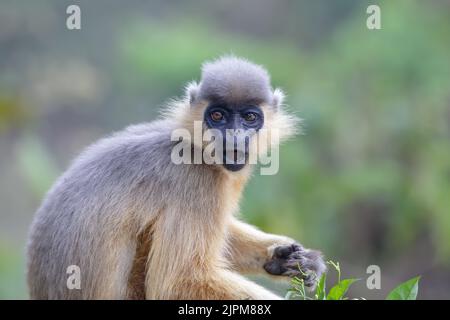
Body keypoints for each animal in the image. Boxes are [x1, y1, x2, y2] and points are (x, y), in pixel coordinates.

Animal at [26, 55, 326, 300]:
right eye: (218, 115)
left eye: (250, 118)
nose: (234, 136)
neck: (197, 148)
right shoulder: (196, 180)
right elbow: (178, 282)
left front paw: (285, 258)